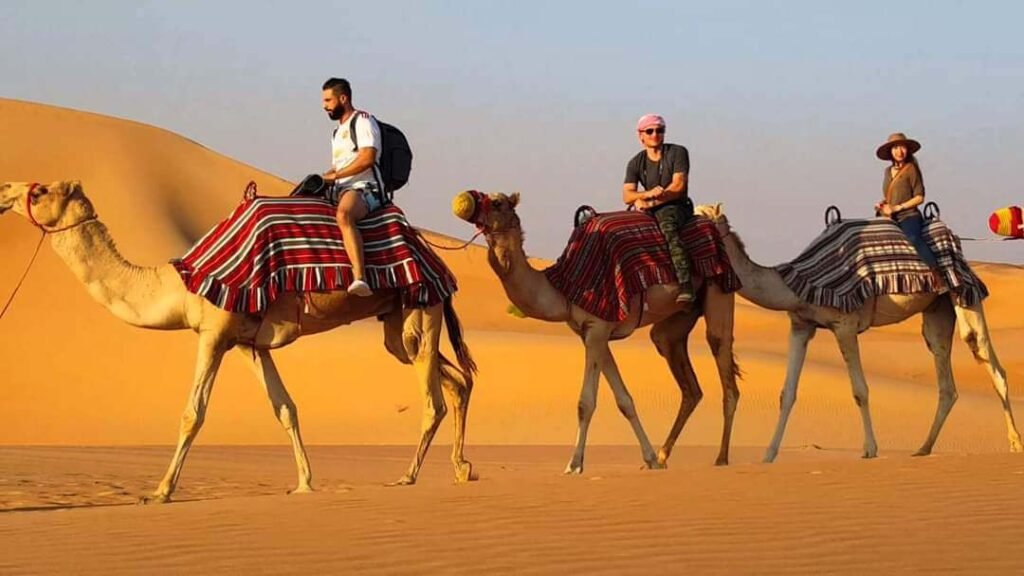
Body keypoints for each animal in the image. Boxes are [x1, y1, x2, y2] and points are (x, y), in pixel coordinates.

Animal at [0, 181, 479, 500]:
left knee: (434, 399)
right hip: (399, 321)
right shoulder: (251, 343)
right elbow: (285, 408)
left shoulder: (214, 331)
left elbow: (192, 413)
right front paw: (304, 483)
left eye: (40, 191)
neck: (181, 284)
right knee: (456, 380)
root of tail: (432, 253)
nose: (6, 188)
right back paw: (462, 469)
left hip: (421, 309)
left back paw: (408, 476)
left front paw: (161, 490)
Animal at [452, 189, 741, 471]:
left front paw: (574, 463)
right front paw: (649, 459)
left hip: (719, 287)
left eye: (497, 202)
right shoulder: (594, 334)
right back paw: (663, 456)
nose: (466, 201)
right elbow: (624, 400)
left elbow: (586, 402)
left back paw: (722, 457)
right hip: (678, 319)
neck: (563, 288)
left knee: (723, 359)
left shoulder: (597, 328)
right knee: (686, 379)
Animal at [692, 203, 1019, 459]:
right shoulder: (801, 324)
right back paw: (923, 448)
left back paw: (1015, 443)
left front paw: (870, 449)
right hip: (936, 308)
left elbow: (860, 391)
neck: (796, 282)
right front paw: (769, 455)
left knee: (989, 359)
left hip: (964, 293)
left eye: (701, 219)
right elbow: (787, 393)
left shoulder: (845, 325)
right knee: (945, 374)